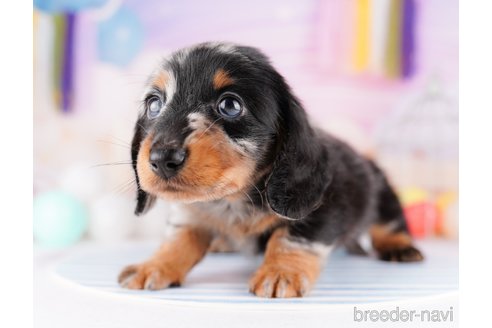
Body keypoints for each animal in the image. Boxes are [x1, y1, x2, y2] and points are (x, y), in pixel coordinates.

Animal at [119, 41, 422, 298]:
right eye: (154, 104)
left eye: (230, 105)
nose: (161, 158)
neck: (232, 202)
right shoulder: (191, 214)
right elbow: (177, 241)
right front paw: (154, 265)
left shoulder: (326, 206)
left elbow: (290, 238)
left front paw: (280, 272)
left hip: (382, 194)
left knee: (389, 223)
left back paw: (400, 247)